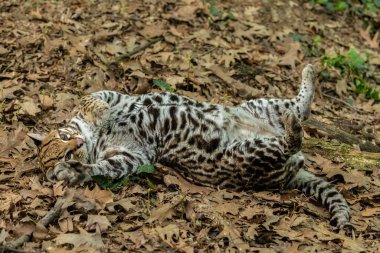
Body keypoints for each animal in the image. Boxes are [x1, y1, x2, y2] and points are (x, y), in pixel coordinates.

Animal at [28, 64, 352, 231]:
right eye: (67, 151)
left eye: (65, 138)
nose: (78, 142)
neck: (95, 139)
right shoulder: (132, 158)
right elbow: (99, 168)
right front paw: (74, 171)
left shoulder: (118, 96)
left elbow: (92, 97)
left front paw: (101, 114)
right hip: (247, 153)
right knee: (293, 142)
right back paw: (293, 129)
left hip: (260, 105)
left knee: (300, 108)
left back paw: (308, 74)